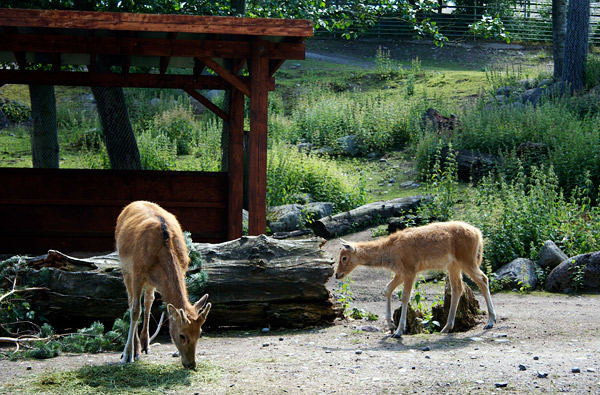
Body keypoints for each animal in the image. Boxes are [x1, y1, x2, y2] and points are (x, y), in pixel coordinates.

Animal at [116, 203, 212, 370]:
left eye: (199, 333)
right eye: (182, 335)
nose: (191, 364)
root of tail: (133, 204)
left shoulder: (183, 268)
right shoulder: (137, 273)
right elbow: (135, 311)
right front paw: (127, 355)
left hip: (149, 282)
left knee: (148, 301)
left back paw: (145, 344)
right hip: (125, 268)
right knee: (132, 302)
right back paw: (135, 350)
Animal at [336, 221, 494, 338]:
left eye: (344, 257)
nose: (337, 274)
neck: (390, 255)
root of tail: (478, 233)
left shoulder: (410, 270)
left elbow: (405, 296)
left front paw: (399, 331)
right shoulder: (401, 272)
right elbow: (387, 289)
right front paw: (391, 324)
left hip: (467, 260)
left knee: (483, 279)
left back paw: (490, 321)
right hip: (453, 265)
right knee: (458, 288)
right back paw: (446, 328)